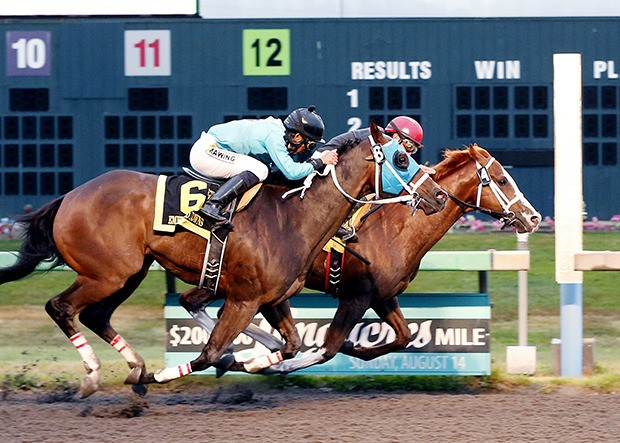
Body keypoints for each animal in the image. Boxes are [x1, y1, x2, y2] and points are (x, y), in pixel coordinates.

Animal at [0, 122, 446, 398]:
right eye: (402, 159)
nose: (439, 196)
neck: (294, 215)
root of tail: (69, 196)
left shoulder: (270, 297)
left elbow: (289, 343)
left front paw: (257, 360)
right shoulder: (246, 297)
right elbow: (209, 353)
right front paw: (168, 373)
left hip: (129, 273)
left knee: (94, 315)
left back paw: (134, 367)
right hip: (106, 274)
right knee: (60, 307)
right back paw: (96, 375)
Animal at [219, 146, 544, 374]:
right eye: (502, 180)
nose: (534, 218)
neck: (396, 227)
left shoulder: (383, 296)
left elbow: (404, 336)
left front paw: (355, 346)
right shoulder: (356, 296)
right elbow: (327, 348)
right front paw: (266, 364)